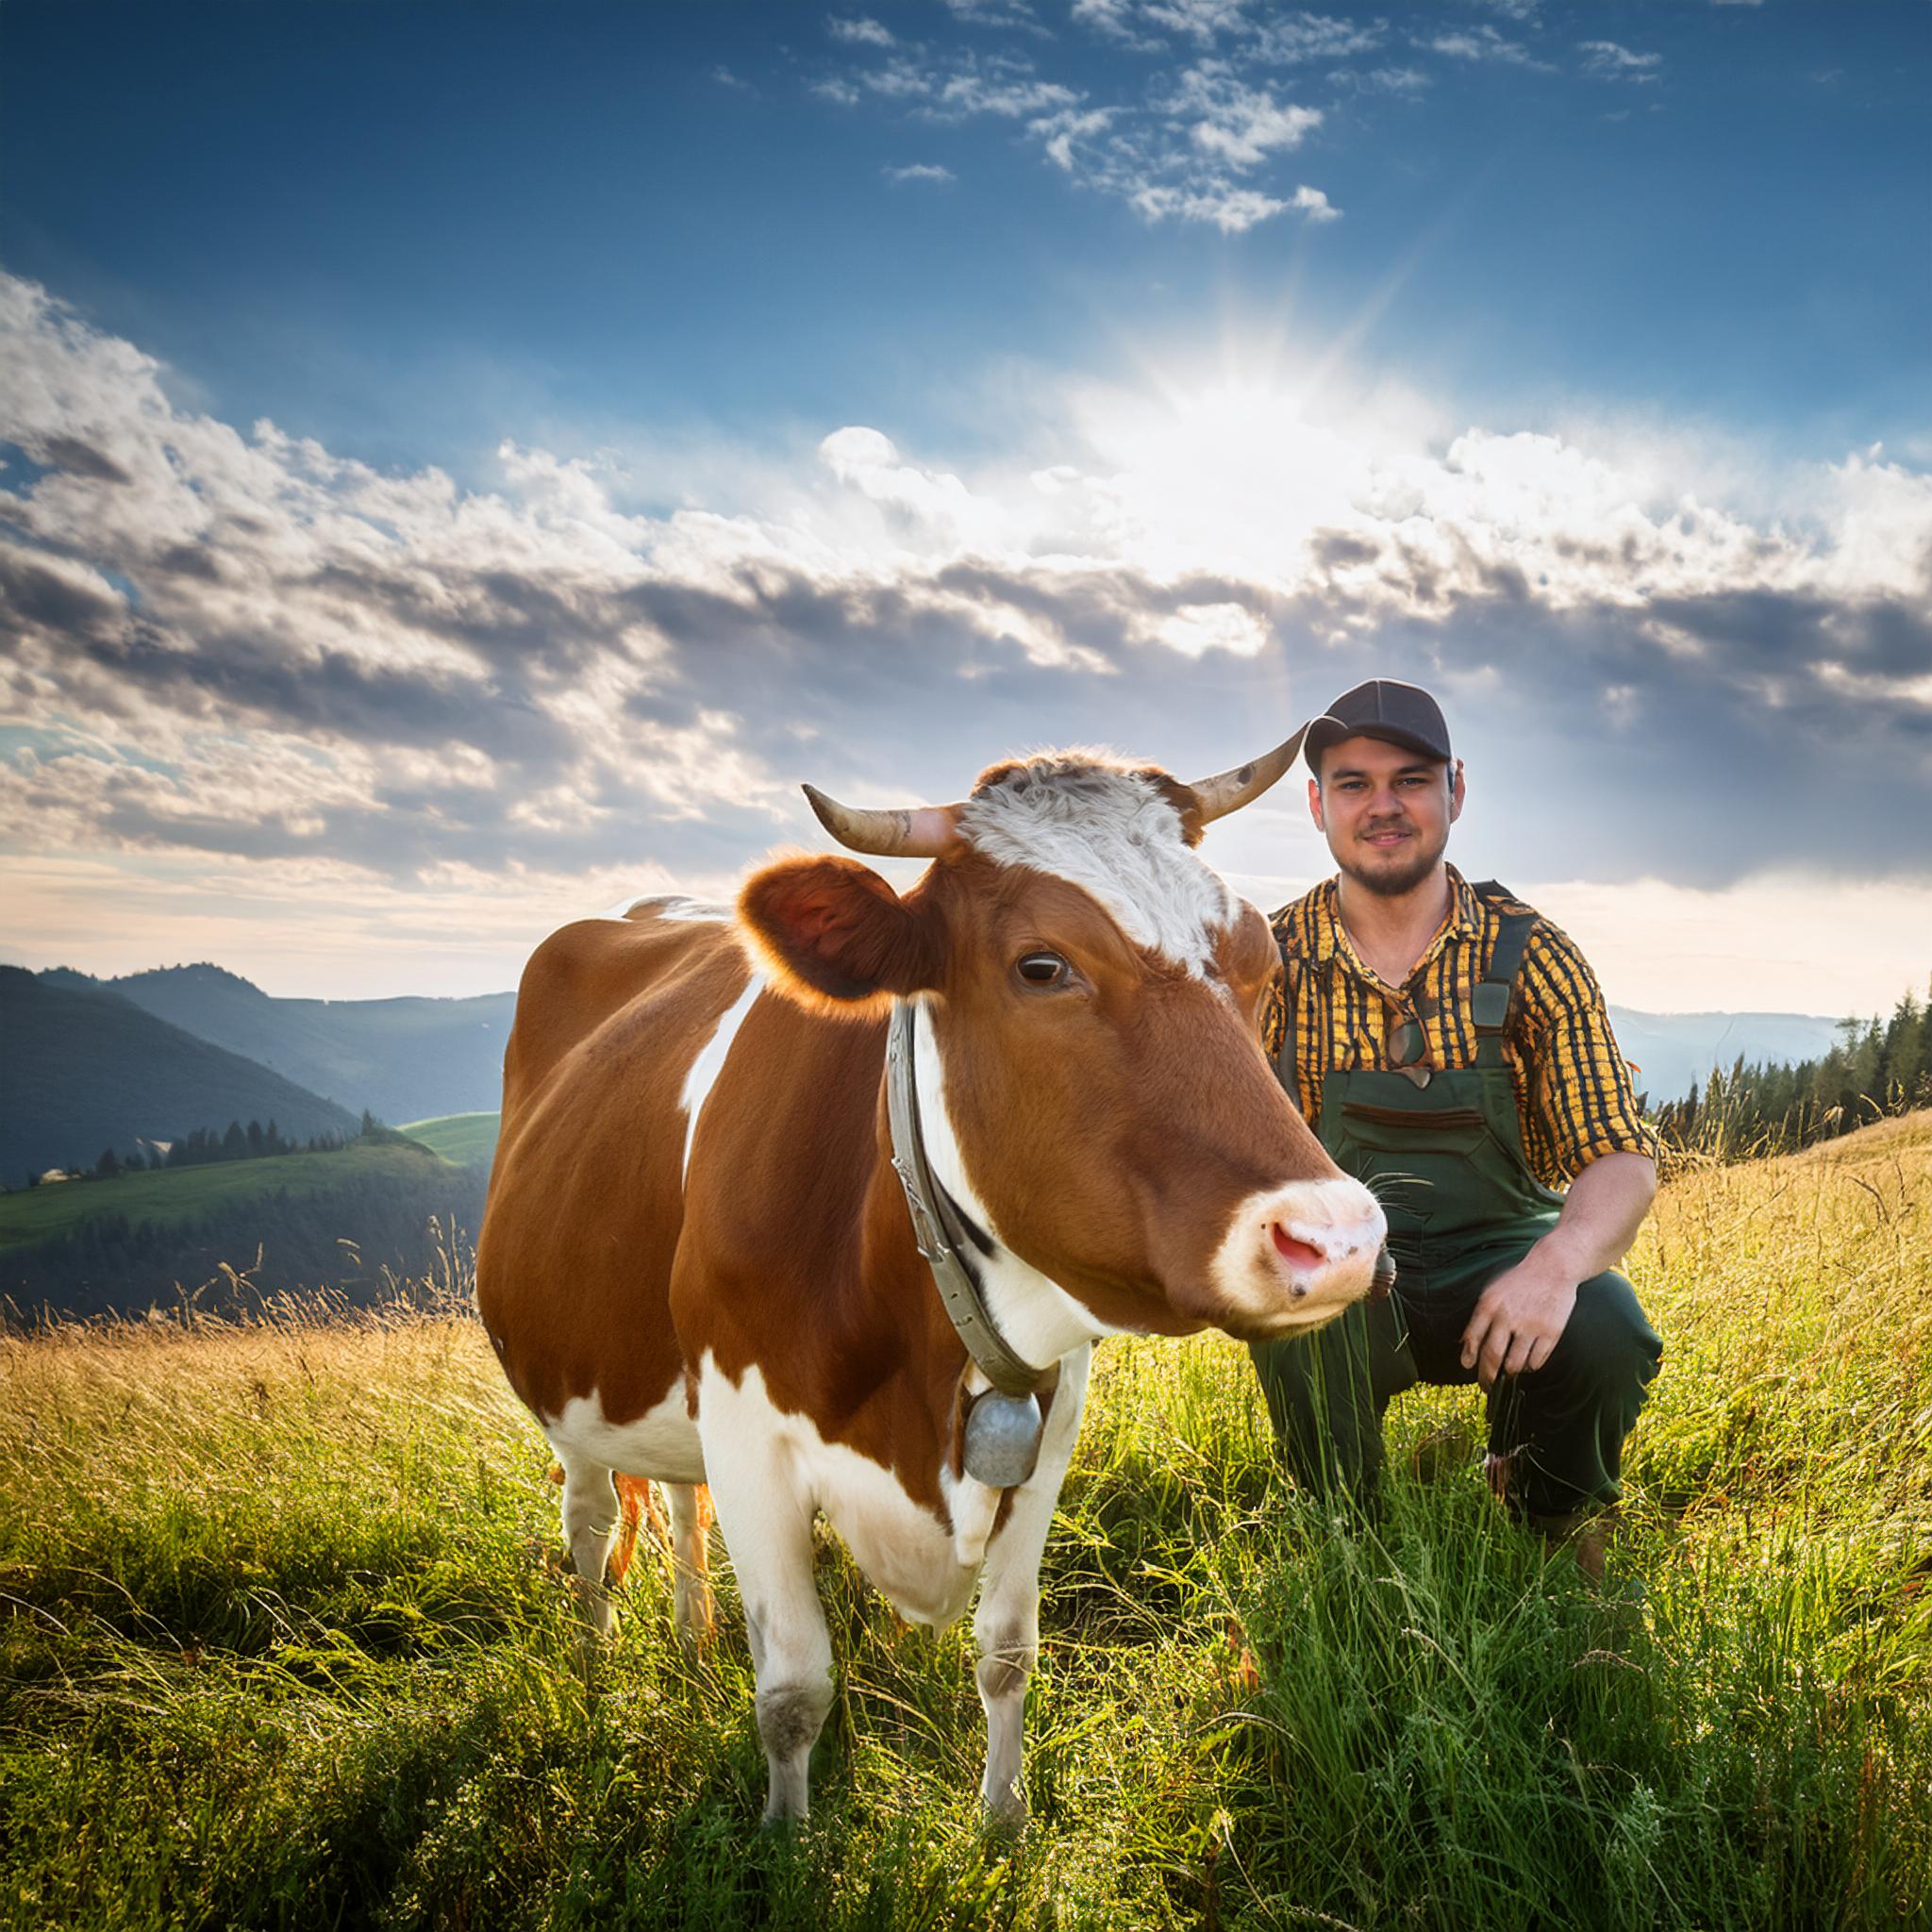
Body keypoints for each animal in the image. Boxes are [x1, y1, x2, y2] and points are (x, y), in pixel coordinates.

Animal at [483, 738, 1391, 1824]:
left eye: (1261, 960)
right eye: (1041, 965)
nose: (1336, 1239)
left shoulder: (1048, 1426)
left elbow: (1007, 1653)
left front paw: (1004, 1825)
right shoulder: (746, 1433)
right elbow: (793, 1690)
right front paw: (785, 1840)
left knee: (677, 1509)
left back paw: (693, 1651)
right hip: (566, 1393)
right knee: (589, 1533)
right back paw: (592, 1689)